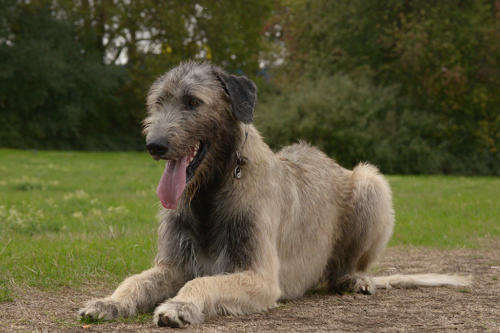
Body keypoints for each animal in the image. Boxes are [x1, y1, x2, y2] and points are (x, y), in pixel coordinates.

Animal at [77, 61, 468, 326]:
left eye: (192, 102)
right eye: (157, 102)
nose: (153, 145)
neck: (212, 189)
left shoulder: (260, 277)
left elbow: (204, 281)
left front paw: (178, 305)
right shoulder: (173, 265)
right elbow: (135, 281)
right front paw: (108, 301)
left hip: (371, 184)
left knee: (347, 264)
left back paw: (353, 278)